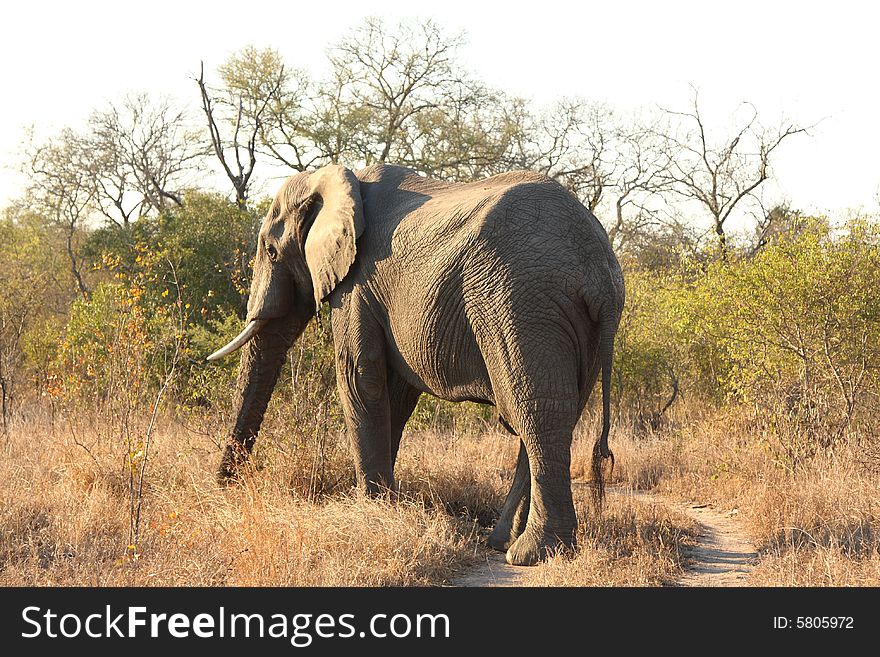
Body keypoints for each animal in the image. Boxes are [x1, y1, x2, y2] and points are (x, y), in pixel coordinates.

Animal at [208, 163, 624, 564]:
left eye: (271, 251)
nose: (226, 487)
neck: (333, 177)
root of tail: (601, 270)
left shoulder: (357, 283)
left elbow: (360, 377)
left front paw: (371, 512)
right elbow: (395, 395)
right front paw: (384, 506)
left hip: (521, 305)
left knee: (535, 412)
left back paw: (532, 554)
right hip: (571, 324)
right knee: (551, 415)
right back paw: (502, 541)